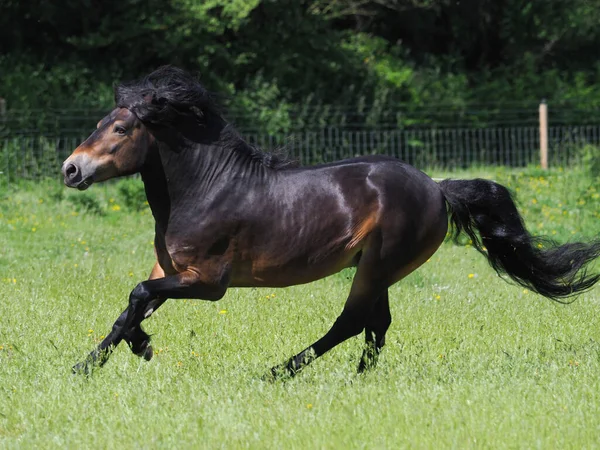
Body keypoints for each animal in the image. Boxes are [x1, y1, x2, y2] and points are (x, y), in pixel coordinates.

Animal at [61, 66, 600, 376]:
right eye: (101, 123)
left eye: (121, 128)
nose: (71, 169)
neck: (207, 188)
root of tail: (437, 187)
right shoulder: (169, 271)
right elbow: (130, 309)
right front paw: (89, 365)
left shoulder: (209, 282)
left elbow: (137, 296)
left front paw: (139, 351)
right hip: (379, 269)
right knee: (376, 325)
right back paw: (359, 378)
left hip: (378, 265)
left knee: (352, 321)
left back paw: (278, 372)